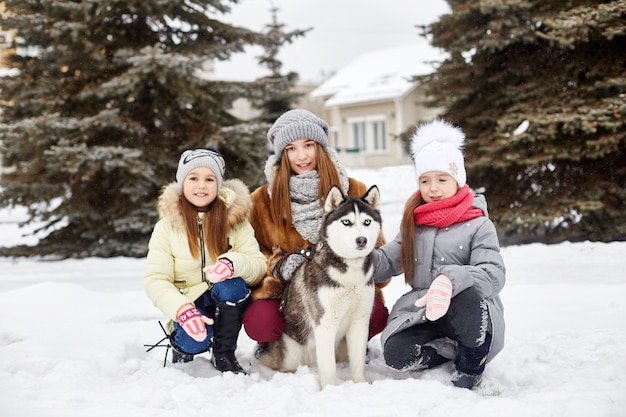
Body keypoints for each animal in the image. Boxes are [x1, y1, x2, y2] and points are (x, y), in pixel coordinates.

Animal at [258, 184, 380, 386]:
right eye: (346, 222)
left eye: (367, 222)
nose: (362, 240)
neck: (350, 272)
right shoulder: (325, 323)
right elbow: (328, 367)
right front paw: (330, 389)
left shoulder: (360, 321)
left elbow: (358, 363)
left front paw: (361, 385)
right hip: (290, 352)